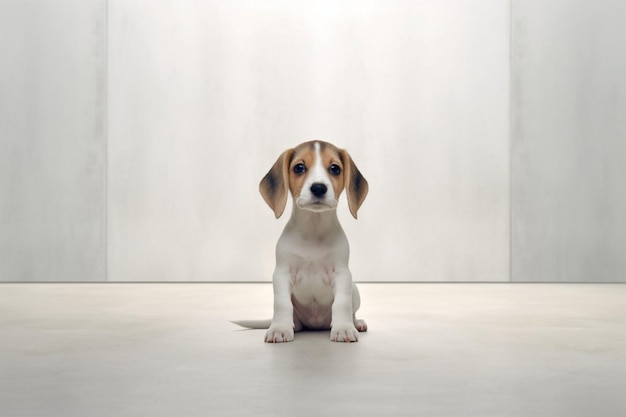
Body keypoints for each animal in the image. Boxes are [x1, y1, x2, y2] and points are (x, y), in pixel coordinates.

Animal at [233, 140, 366, 342]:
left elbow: (341, 303)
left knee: (352, 311)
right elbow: (282, 304)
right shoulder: (282, 273)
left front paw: (344, 328)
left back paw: (356, 323)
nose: (318, 188)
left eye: (335, 168)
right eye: (299, 167)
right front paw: (279, 328)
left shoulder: (342, 274)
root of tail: (316, 325)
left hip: (355, 289)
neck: (313, 228)